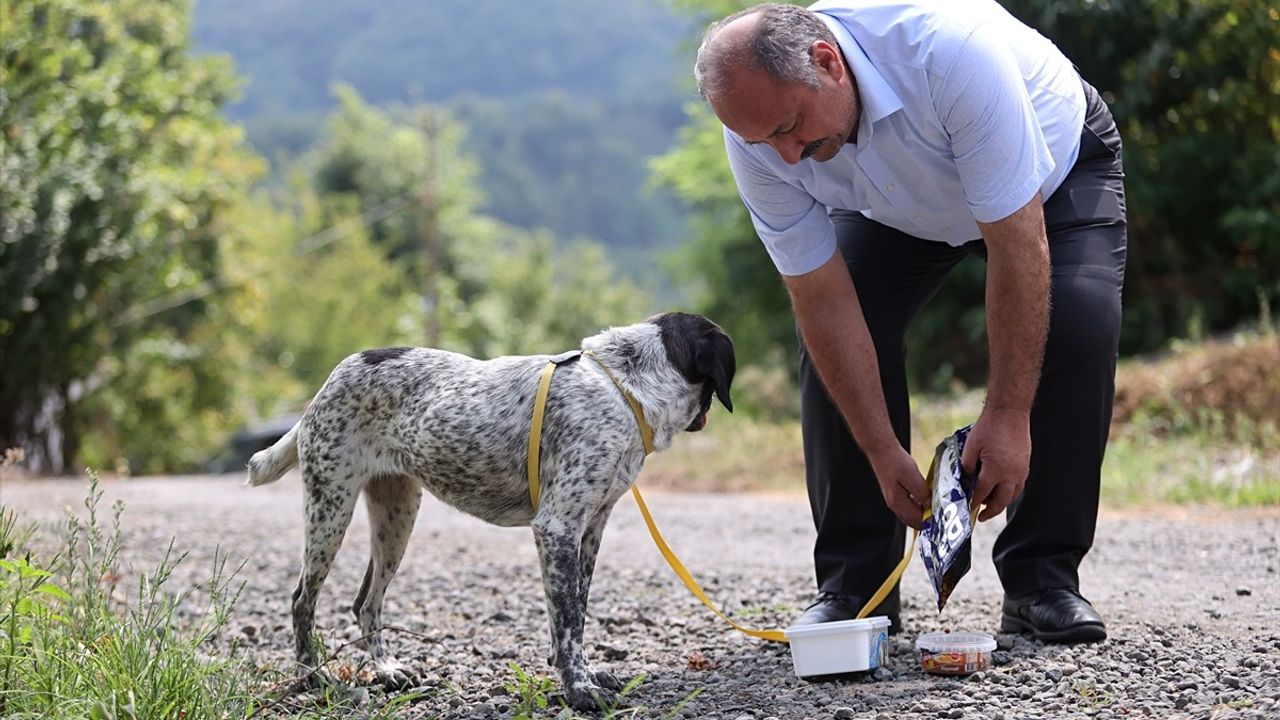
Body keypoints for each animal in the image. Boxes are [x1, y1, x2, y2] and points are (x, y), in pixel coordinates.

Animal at [244, 310, 737, 707]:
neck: (623, 386)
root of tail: (329, 381)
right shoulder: (557, 528)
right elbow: (569, 621)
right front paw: (579, 689)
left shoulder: (590, 528)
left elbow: (574, 615)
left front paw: (582, 672)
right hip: (330, 510)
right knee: (302, 601)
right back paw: (312, 677)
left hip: (396, 518)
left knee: (366, 602)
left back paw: (386, 669)